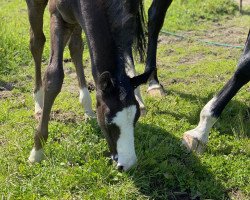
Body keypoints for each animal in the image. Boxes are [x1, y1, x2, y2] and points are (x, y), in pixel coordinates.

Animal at [26, 0, 153, 172]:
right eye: (108, 121)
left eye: (136, 117)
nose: (127, 164)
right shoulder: (57, 15)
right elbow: (54, 76)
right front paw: (37, 151)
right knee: (37, 42)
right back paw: (39, 102)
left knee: (76, 46)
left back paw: (86, 106)